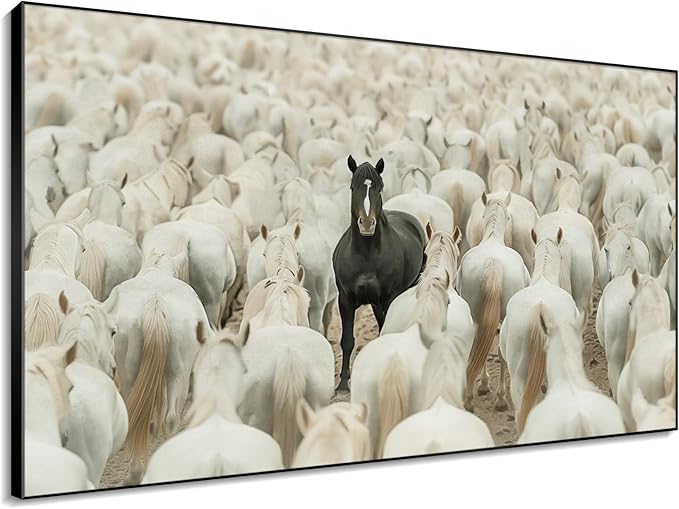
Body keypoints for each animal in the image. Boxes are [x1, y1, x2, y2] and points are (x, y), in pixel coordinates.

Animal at [333, 156, 427, 390]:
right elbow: (347, 341)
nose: (367, 224)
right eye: (353, 187)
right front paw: (343, 384)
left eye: (379, 188)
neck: (366, 254)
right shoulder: (345, 300)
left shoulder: (389, 298)